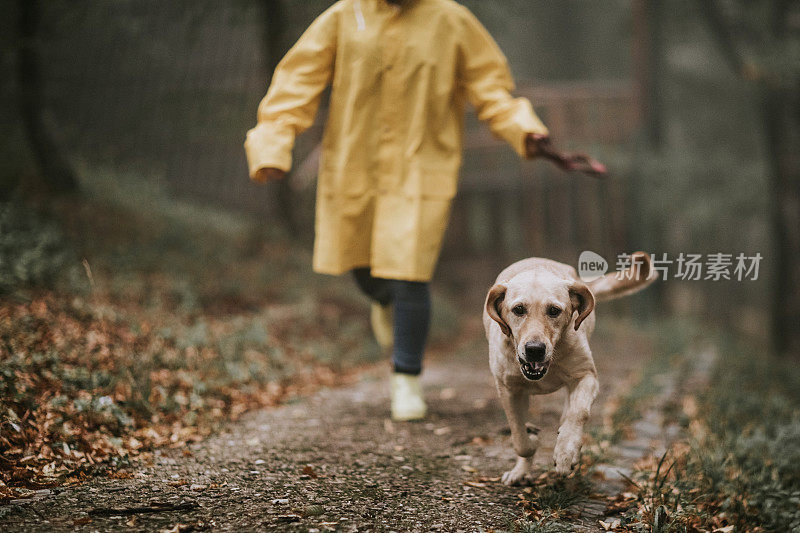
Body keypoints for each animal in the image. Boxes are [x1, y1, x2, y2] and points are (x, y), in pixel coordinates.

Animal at [482, 251, 656, 484]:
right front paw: (531, 440)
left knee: (568, 413)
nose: (535, 349)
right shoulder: (508, 389)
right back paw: (520, 471)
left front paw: (566, 453)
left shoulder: (586, 376)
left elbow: (578, 413)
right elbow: (519, 437)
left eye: (554, 311)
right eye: (518, 310)